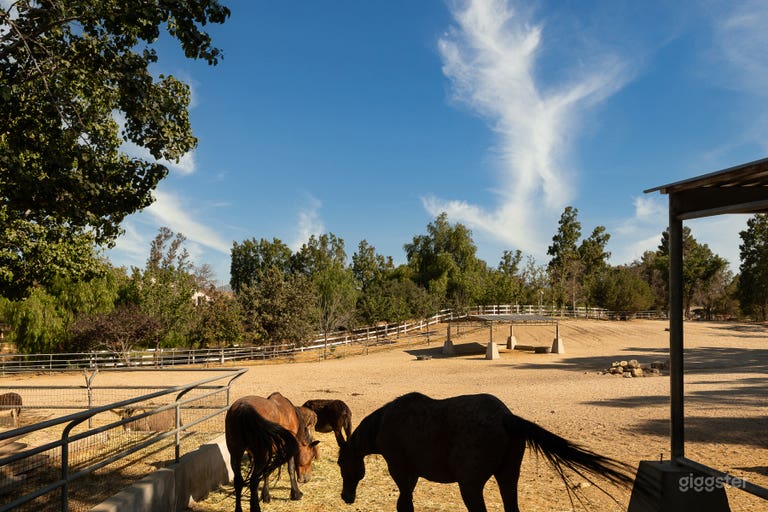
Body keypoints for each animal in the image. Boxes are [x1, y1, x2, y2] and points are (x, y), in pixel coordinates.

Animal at [337, 392, 633, 512]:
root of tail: (506, 418)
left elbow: (404, 504)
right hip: (508, 477)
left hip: (470, 486)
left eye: (341, 464)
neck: (383, 424)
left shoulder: (402, 472)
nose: (346, 497)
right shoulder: (411, 476)